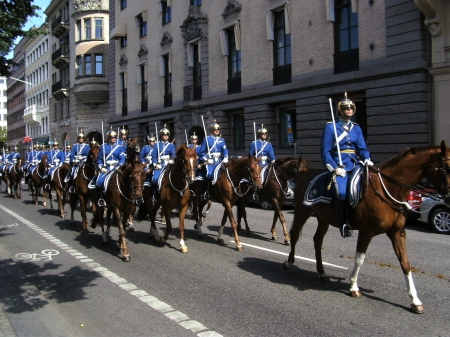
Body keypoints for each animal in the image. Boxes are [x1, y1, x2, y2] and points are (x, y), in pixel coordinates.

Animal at [284, 140, 450, 312]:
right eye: (447, 168)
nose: (448, 198)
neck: (388, 189)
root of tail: (303, 173)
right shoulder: (366, 231)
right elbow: (360, 259)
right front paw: (354, 287)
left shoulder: (397, 232)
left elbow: (405, 263)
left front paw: (415, 300)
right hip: (302, 211)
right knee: (295, 234)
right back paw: (289, 262)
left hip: (323, 218)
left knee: (317, 241)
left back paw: (322, 273)